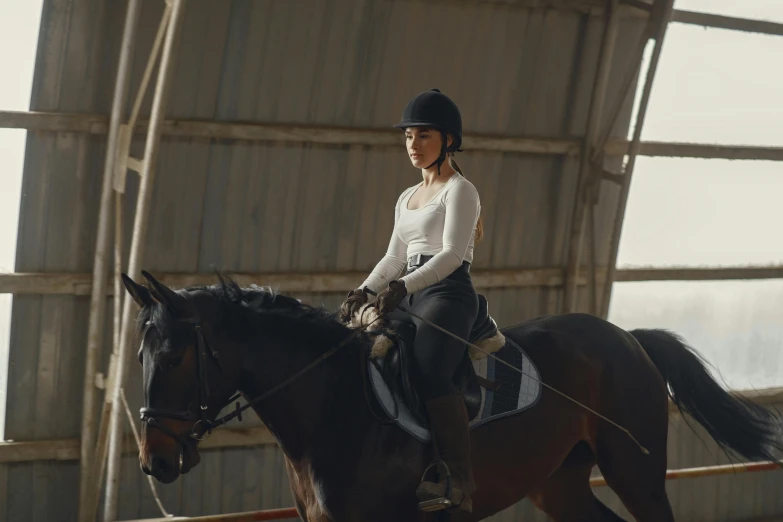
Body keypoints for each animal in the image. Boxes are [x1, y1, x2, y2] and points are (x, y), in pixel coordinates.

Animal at [122, 270, 783, 516]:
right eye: (141, 355)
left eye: (175, 355)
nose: (154, 460)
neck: (331, 406)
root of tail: (627, 338)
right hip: (559, 484)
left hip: (635, 472)